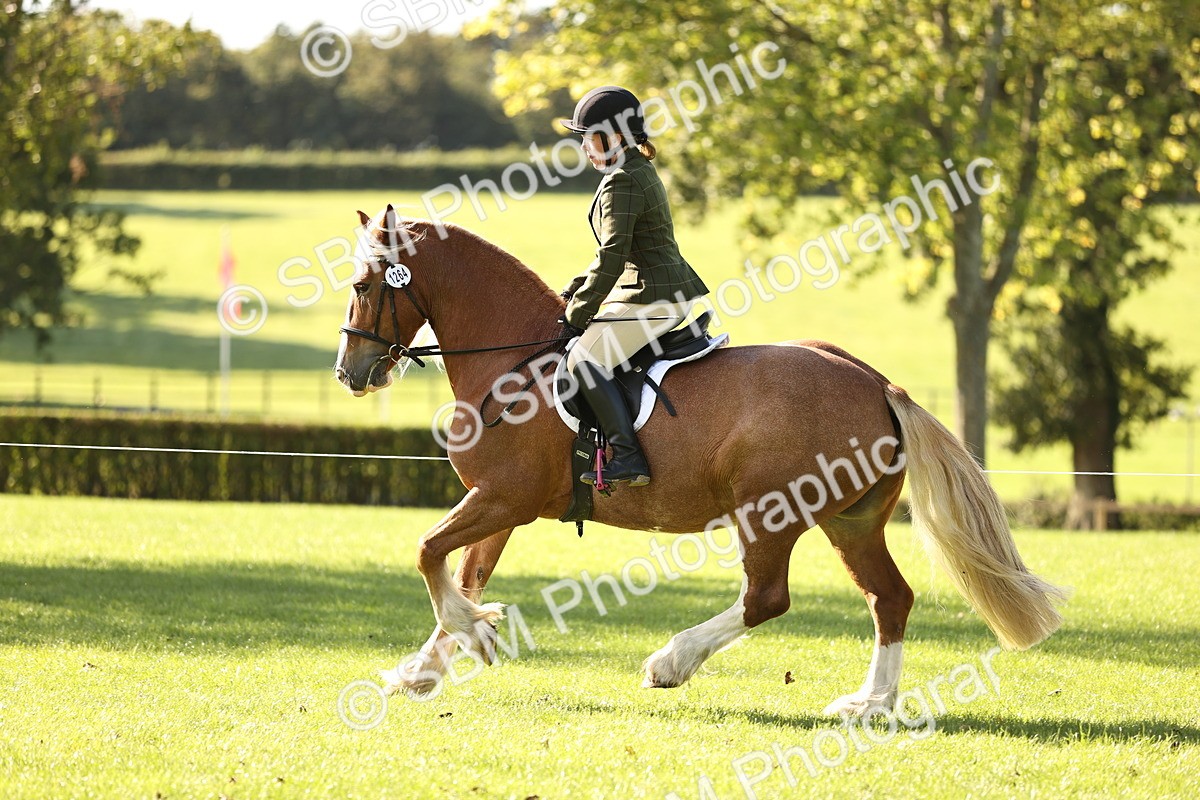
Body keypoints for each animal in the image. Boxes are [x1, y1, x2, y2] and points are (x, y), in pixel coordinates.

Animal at [333, 205, 1067, 717]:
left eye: (365, 284)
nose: (350, 373)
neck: (513, 359)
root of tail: (878, 384)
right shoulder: (504, 504)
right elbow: (465, 573)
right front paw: (425, 669)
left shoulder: (503, 496)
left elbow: (430, 553)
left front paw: (475, 638)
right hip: (851, 522)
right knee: (890, 597)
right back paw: (871, 704)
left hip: (770, 512)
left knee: (767, 597)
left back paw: (672, 661)